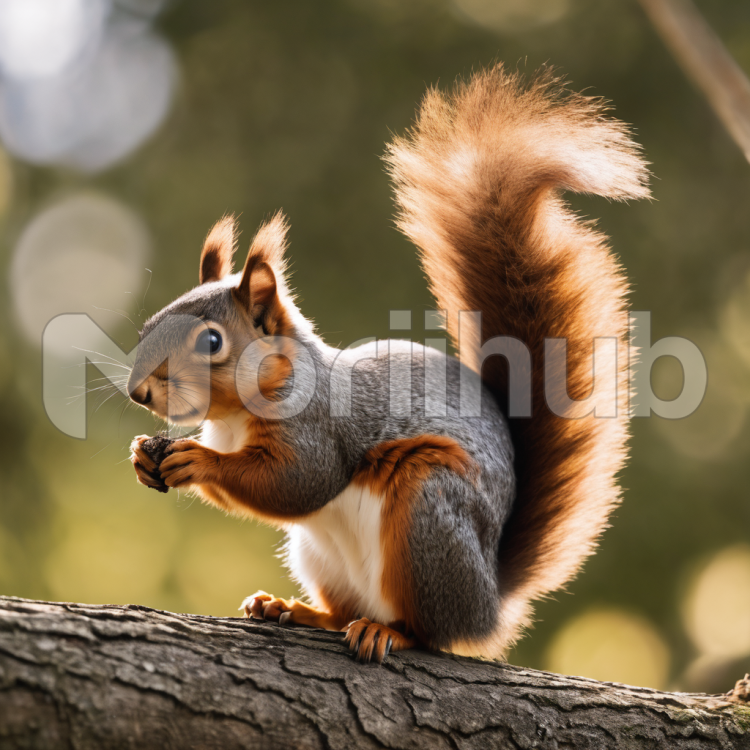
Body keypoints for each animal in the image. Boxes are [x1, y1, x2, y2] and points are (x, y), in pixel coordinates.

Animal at [128, 65, 650, 663]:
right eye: (148, 325)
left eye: (212, 341)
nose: (138, 391)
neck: (236, 416)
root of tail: (487, 605)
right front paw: (144, 457)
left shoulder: (320, 429)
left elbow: (297, 483)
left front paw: (199, 463)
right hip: (320, 555)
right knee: (344, 611)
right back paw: (296, 610)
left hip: (427, 513)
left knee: (429, 632)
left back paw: (389, 632)